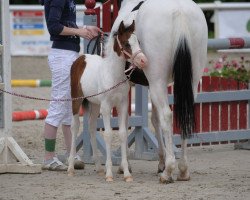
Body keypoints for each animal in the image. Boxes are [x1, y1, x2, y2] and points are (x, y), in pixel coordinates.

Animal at [67, 21, 147, 182]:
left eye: (138, 42)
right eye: (127, 43)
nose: (143, 61)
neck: (113, 75)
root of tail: (81, 58)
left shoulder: (122, 105)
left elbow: (122, 133)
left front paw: (127, 174)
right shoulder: (106, 107)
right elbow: (108, 134)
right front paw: (109, 174)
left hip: (94, 104)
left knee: (91, 128)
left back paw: (98, 168)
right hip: (77, 101)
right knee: (75, 127)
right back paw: (71, 168)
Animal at [116, 0, 208, 183]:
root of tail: (179, 10)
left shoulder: (130, 84)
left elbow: (127, 121)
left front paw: (125, 165)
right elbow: (155, 119)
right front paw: (161, 162)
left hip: (156, 80)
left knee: (167, 115)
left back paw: (168, 172)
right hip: (190, 82)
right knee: (185, 114)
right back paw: (183, 170)